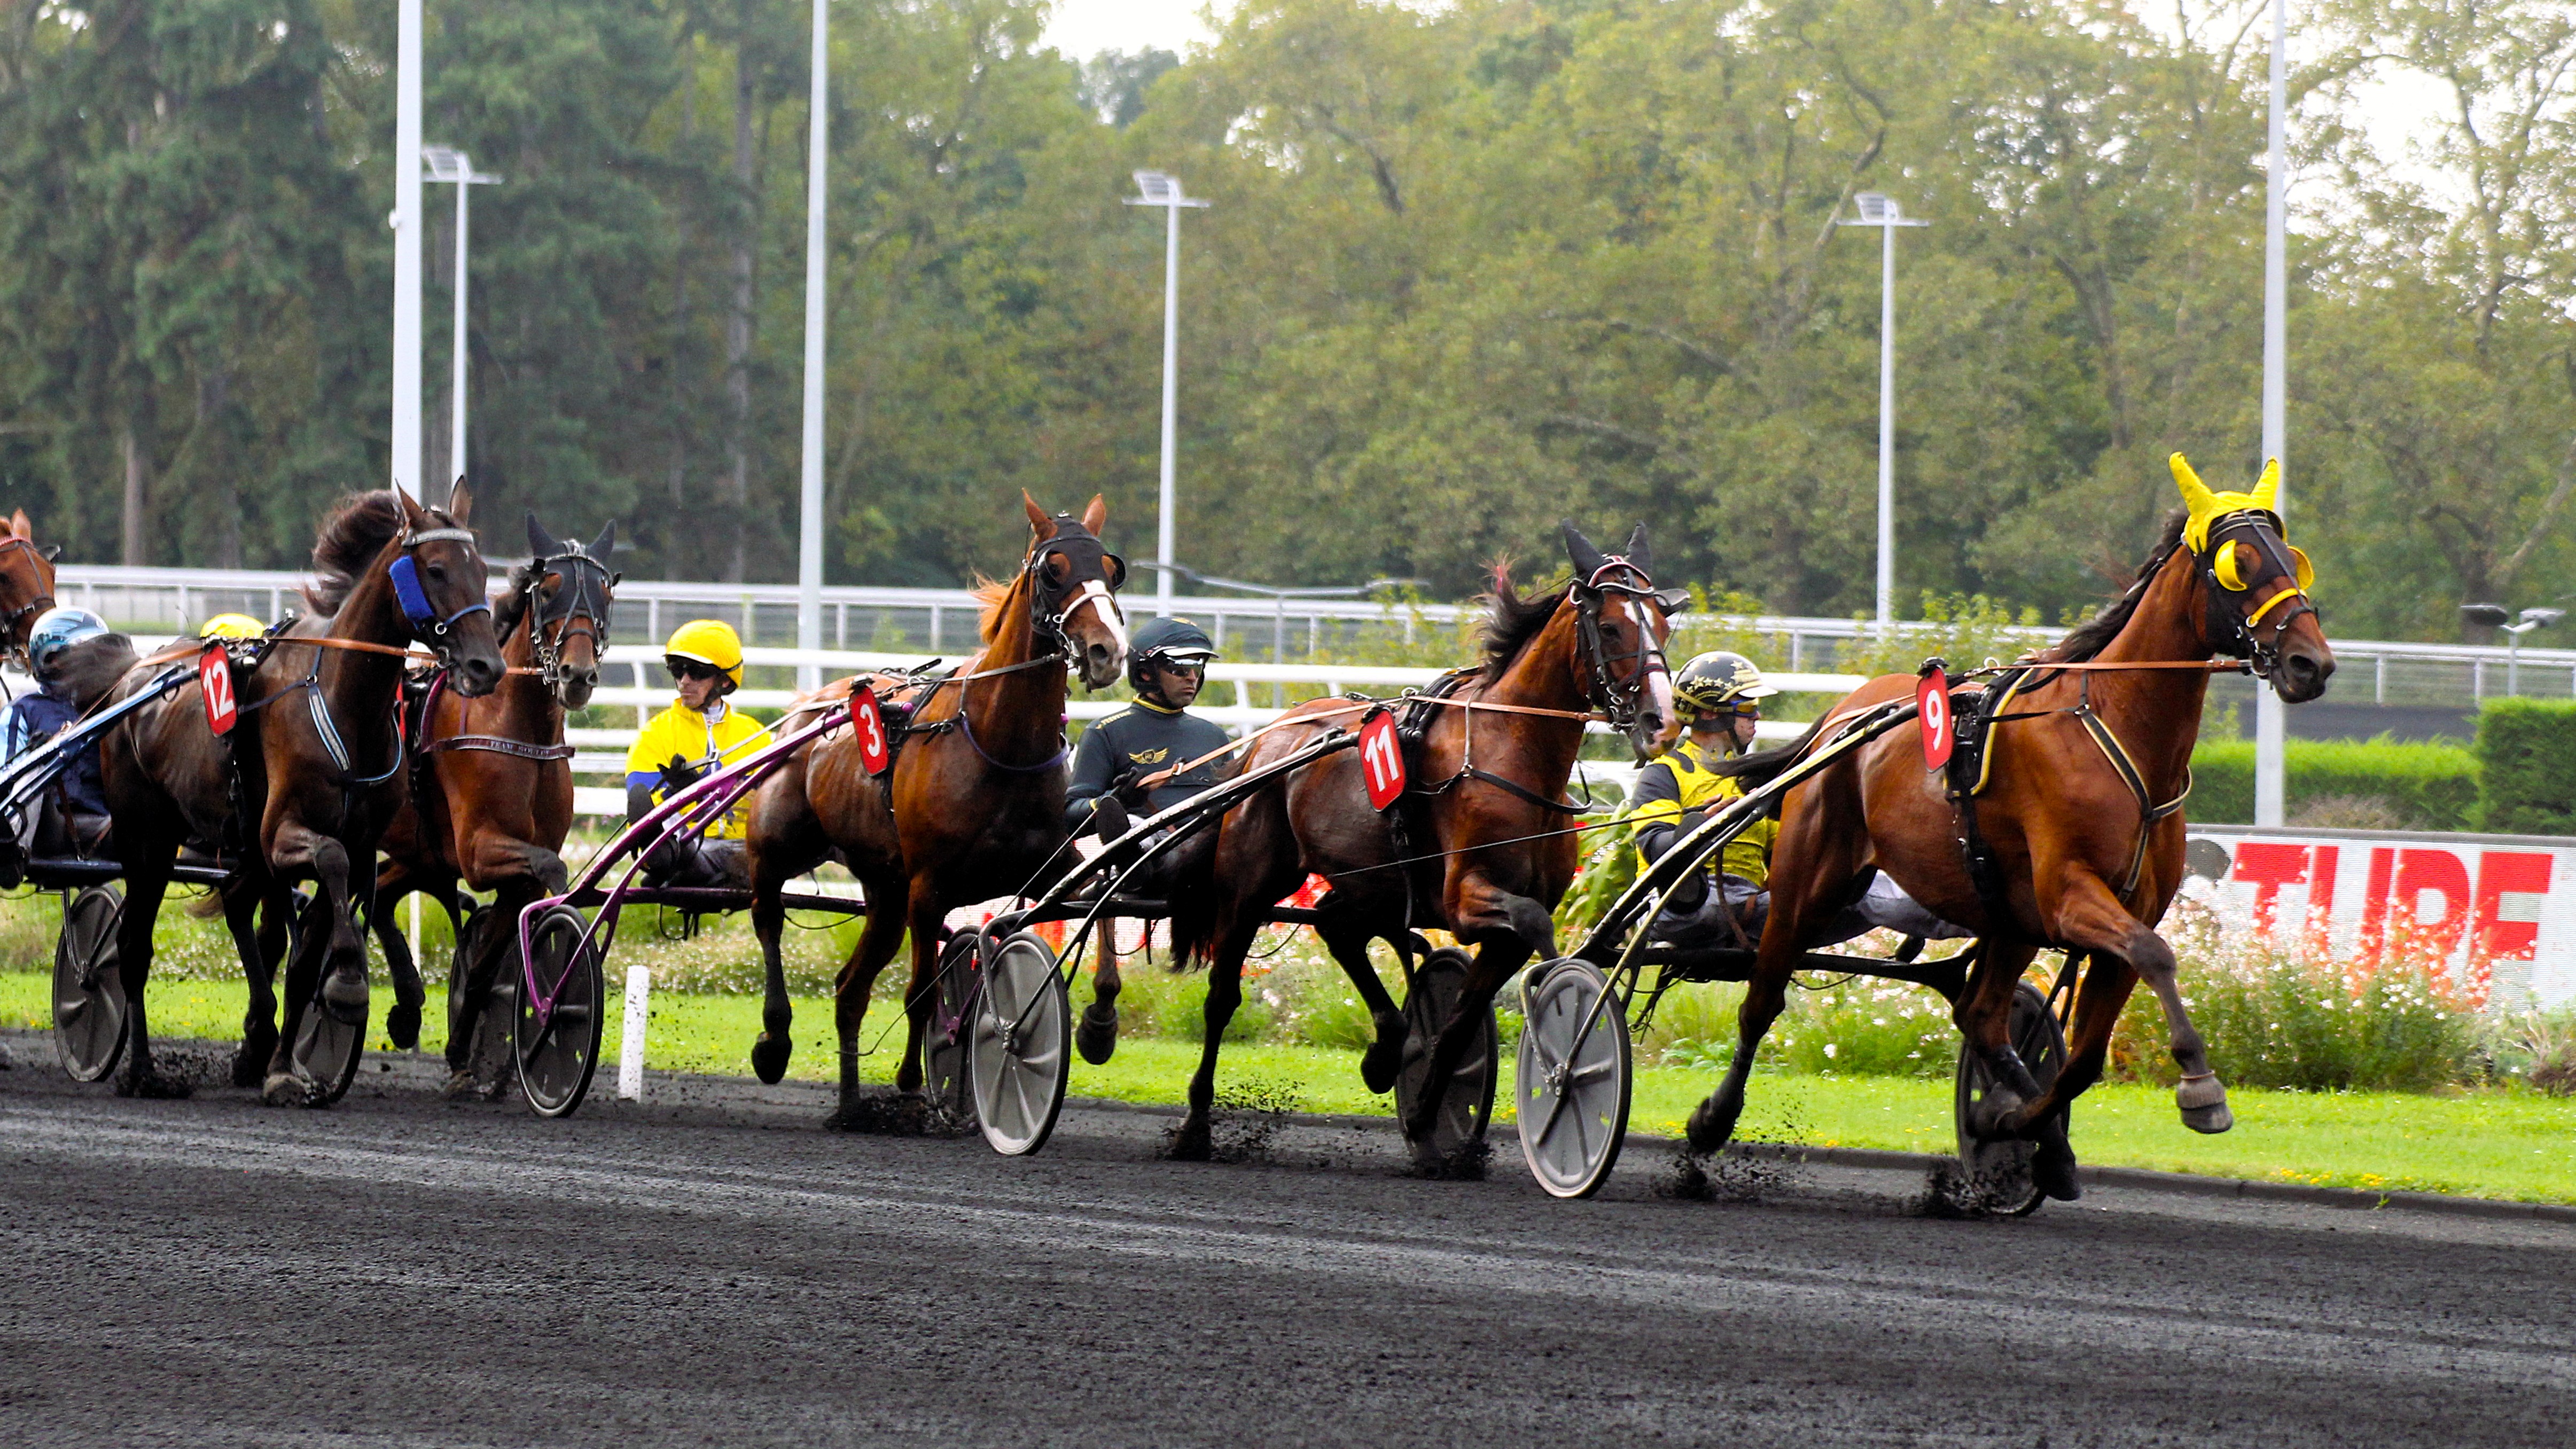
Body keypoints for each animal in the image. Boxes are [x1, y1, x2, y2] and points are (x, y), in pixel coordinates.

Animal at [100, 486, 505, 1101]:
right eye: (435, 569)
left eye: (481, 571)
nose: (488, 666)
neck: (346, 702)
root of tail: (129, 682)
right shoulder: (286, 832)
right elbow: (330, 865)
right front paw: (347, 985)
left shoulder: (357, 844)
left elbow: (305, 956)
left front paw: (284, 1067)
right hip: (147, 837)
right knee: (134, 947)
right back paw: (143, 1069)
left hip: (240, 847)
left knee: (239, 904)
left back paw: (255, 1039)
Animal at [373, 514, 618, 1096]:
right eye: (549, 590)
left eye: (605, 591)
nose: (577, 675)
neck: (516, 730)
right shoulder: (481, 851)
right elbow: (553, 872)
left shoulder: (507, 872)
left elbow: (486, 966)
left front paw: (464, 1051)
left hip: (419, 853)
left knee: (379, 893)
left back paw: (408, 1010)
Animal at [731, 494, 1123, 1127]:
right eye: (1053, 569)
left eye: (1112, 570)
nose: (1107, 651)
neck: (998, 743)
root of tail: (813, 706)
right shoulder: (928, 885)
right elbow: (920, 990)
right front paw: (913, 1082)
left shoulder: (1049, 864)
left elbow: (1102, 908)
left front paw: (1098, 1025)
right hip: (779, 845)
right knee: (767, 915)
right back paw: (774, 1040)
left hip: (884, 889)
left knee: (849, 990)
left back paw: (849, 1104)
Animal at [1174, 522, 1690, 1168]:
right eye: (1614, 625)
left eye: (1664, 625)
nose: (1660, 722)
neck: (1509, 747)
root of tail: (1273, 735)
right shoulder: (1466, 898)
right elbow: (1536, 927)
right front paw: (1561, 1030)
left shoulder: (1495, 927)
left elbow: (1460, 1022)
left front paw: (1427, 1119)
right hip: (1249, 884)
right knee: (1222, 996)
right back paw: (1195, 1122)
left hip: (1368, 882)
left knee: (1337, 925)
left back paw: (1387, 1050)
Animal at [1679, 458, 2349, 1194]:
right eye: (2238, 563)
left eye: (2293, 557)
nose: (2311, 663)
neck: (2117, 725)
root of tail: (1843, 716)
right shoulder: (2069, 894)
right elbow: (2154, 955)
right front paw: (2200, 1088)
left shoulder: (2124, 906)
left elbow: (2084, 1057)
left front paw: (2009, 1122)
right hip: (1809, 881)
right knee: (1761, 998)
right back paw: (1712, 1118)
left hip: (2004, 915)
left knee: (1979, 1015)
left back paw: (2028, 1129)